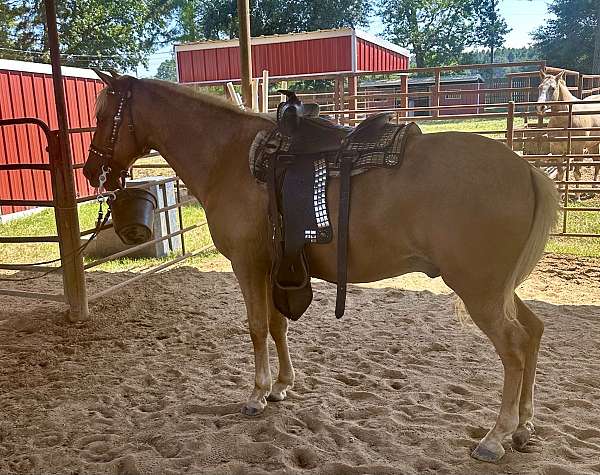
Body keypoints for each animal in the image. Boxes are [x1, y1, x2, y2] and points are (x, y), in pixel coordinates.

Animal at [83, 72, 556, 462]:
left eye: (102, 114)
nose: (90, 170)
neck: (230, 157)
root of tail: (526, 170)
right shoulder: (273, 266)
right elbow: (277, 325)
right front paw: (281, 386)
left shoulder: (247, 264)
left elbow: (257, 326)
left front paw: (257, 393)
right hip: (497, 289)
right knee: (533, 332)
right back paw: (525, 427)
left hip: (480, 291)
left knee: (514, 347)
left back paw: (496, 436)